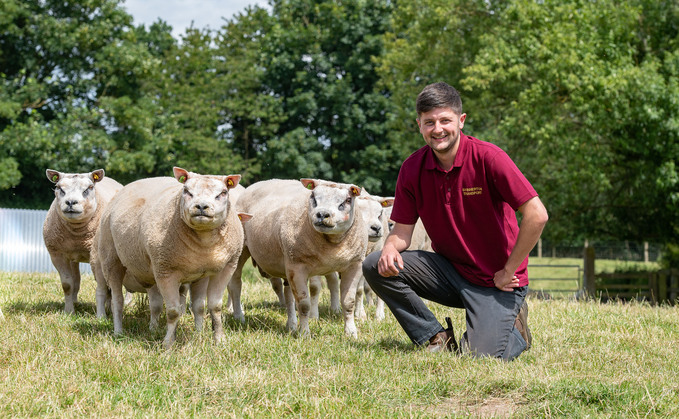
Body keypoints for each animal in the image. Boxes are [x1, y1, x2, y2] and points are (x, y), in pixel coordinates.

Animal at [42, 168, 123, 316]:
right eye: (59, 187)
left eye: (89, 187)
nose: (71, 202)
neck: (77, 235)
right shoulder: (57, 255)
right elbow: (67, 285)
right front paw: (69, 311)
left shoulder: (96, 255)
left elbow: (103, 285)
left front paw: (104, 313)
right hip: (73, 258)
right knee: (76, 280)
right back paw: (75, 302)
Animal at [95, 167, 244, 348]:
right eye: (186, 191)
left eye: (223, 193)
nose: (201, 206)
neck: (204, 241)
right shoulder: (165, 270)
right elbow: (173, 311)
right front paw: (168, 344)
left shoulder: (225, 268)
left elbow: (213, 307)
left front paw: (218, 339)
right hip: (110, 259)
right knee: (117, 301)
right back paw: (118, 332)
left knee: (191, 306)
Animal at [228, 178, 366, 338]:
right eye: (313, 196)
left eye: (348, 199)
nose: (322, 214)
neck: (331, 243)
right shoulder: (297, 267)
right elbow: (303, 304)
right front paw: (304, 334)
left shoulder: (355, 266)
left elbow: (348, 302)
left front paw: (351, 333)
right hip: (242, 250)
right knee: (236, 284)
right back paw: (239, 317)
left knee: (288, 295)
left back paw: (291, 325)